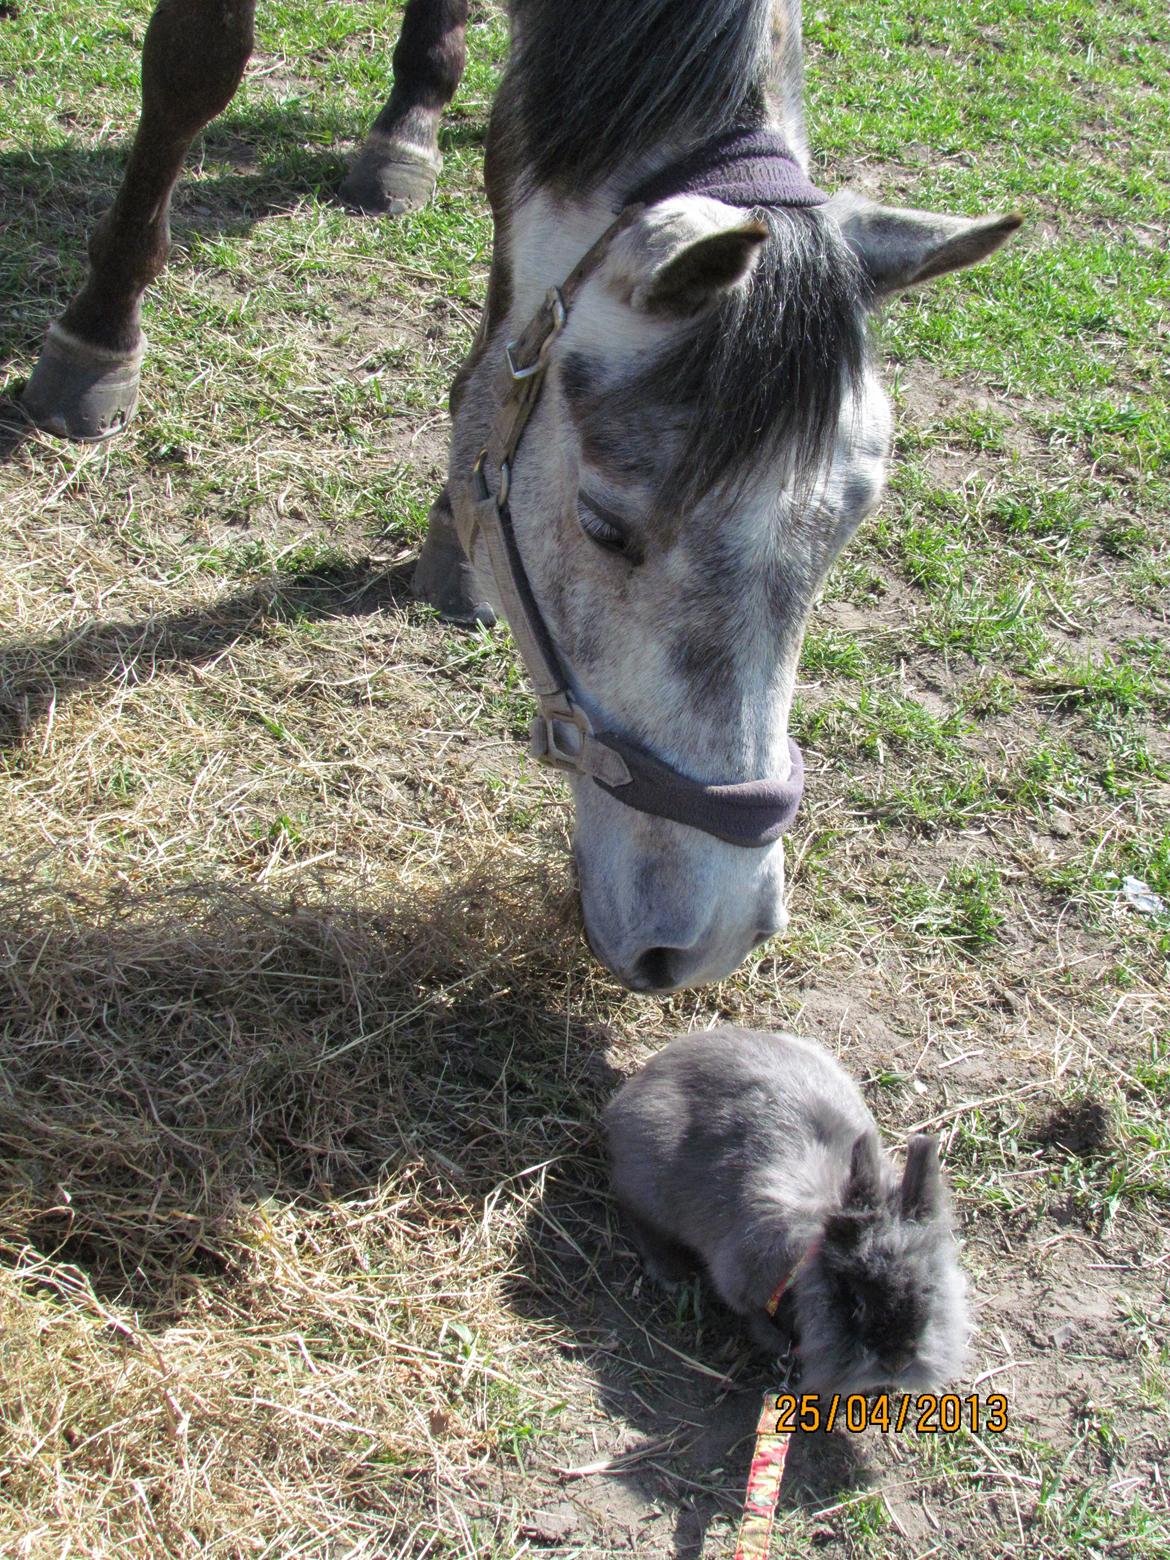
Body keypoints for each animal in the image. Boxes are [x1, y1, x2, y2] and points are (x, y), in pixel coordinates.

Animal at [605, 1023, 973, 1391]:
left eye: (929, 1292)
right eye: (856, 1302)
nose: (897, 1363)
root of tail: (656, 1068)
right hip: (648, 1188)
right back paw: (671, 1275)